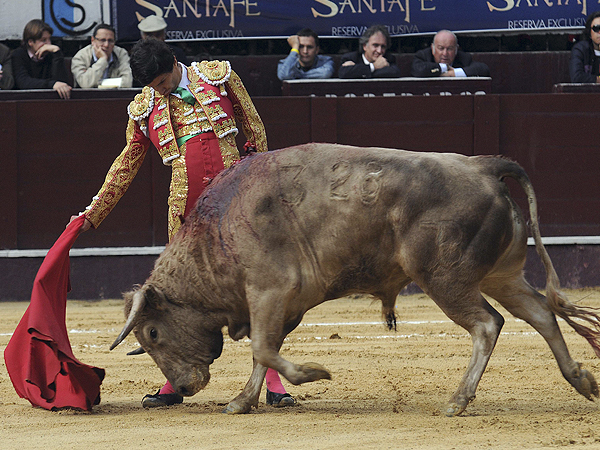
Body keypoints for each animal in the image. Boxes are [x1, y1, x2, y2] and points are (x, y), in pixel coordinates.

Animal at [110, 142, 596, 416]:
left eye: (152, 333)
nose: (184, 387)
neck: (216, 235)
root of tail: (483, 166)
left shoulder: (268, 290)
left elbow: (263, 349)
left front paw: (313, 373)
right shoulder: (275, 303)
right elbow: (262, 353)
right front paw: (242, 402)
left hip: (445, 278)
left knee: (487, 324)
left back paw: (458, 401)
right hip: (501, 275)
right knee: (541, 314)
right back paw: (580, 379)